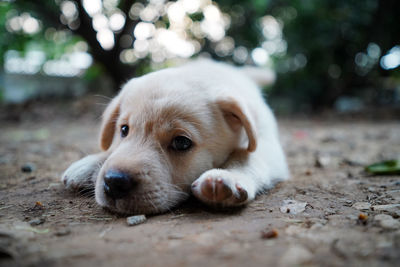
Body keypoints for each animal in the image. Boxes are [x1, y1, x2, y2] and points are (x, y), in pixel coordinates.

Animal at [61, 59, 290, 215]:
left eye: (181, 142)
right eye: (124, 130)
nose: (114, 182)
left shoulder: (267, 144)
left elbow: (248, 157)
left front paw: (228, 177)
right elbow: (110, 152)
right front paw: (90, 164)